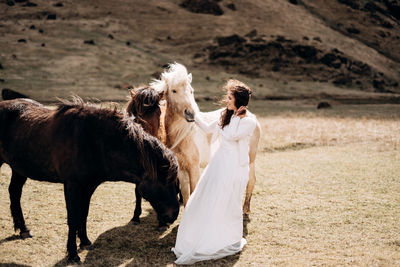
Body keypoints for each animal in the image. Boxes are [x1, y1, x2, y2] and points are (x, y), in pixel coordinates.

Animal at [0, 96, 178, 264]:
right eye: (165, 182)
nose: (174, 215)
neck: (94, 139)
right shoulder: (72, 186)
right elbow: (73, 218)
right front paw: (72, 254)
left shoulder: (88, 186)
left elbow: (83, 214)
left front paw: (85, 241)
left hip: (19, 169)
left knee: (14, 193)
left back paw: (23, 229)